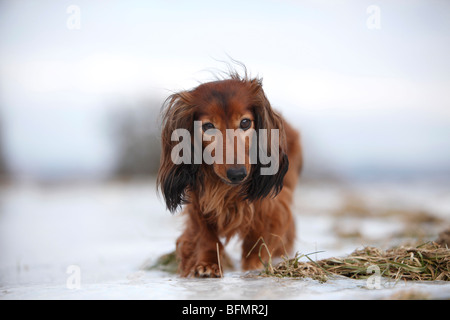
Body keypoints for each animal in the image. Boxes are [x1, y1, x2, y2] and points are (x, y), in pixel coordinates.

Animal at [158, 71, 302, 276]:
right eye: (208, 126)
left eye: (245, 122)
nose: (237, 174)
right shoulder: (199, 201)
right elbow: (204, 234)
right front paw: (207, 263)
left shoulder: (268, 201)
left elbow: (260, 234)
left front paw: (253, 265)